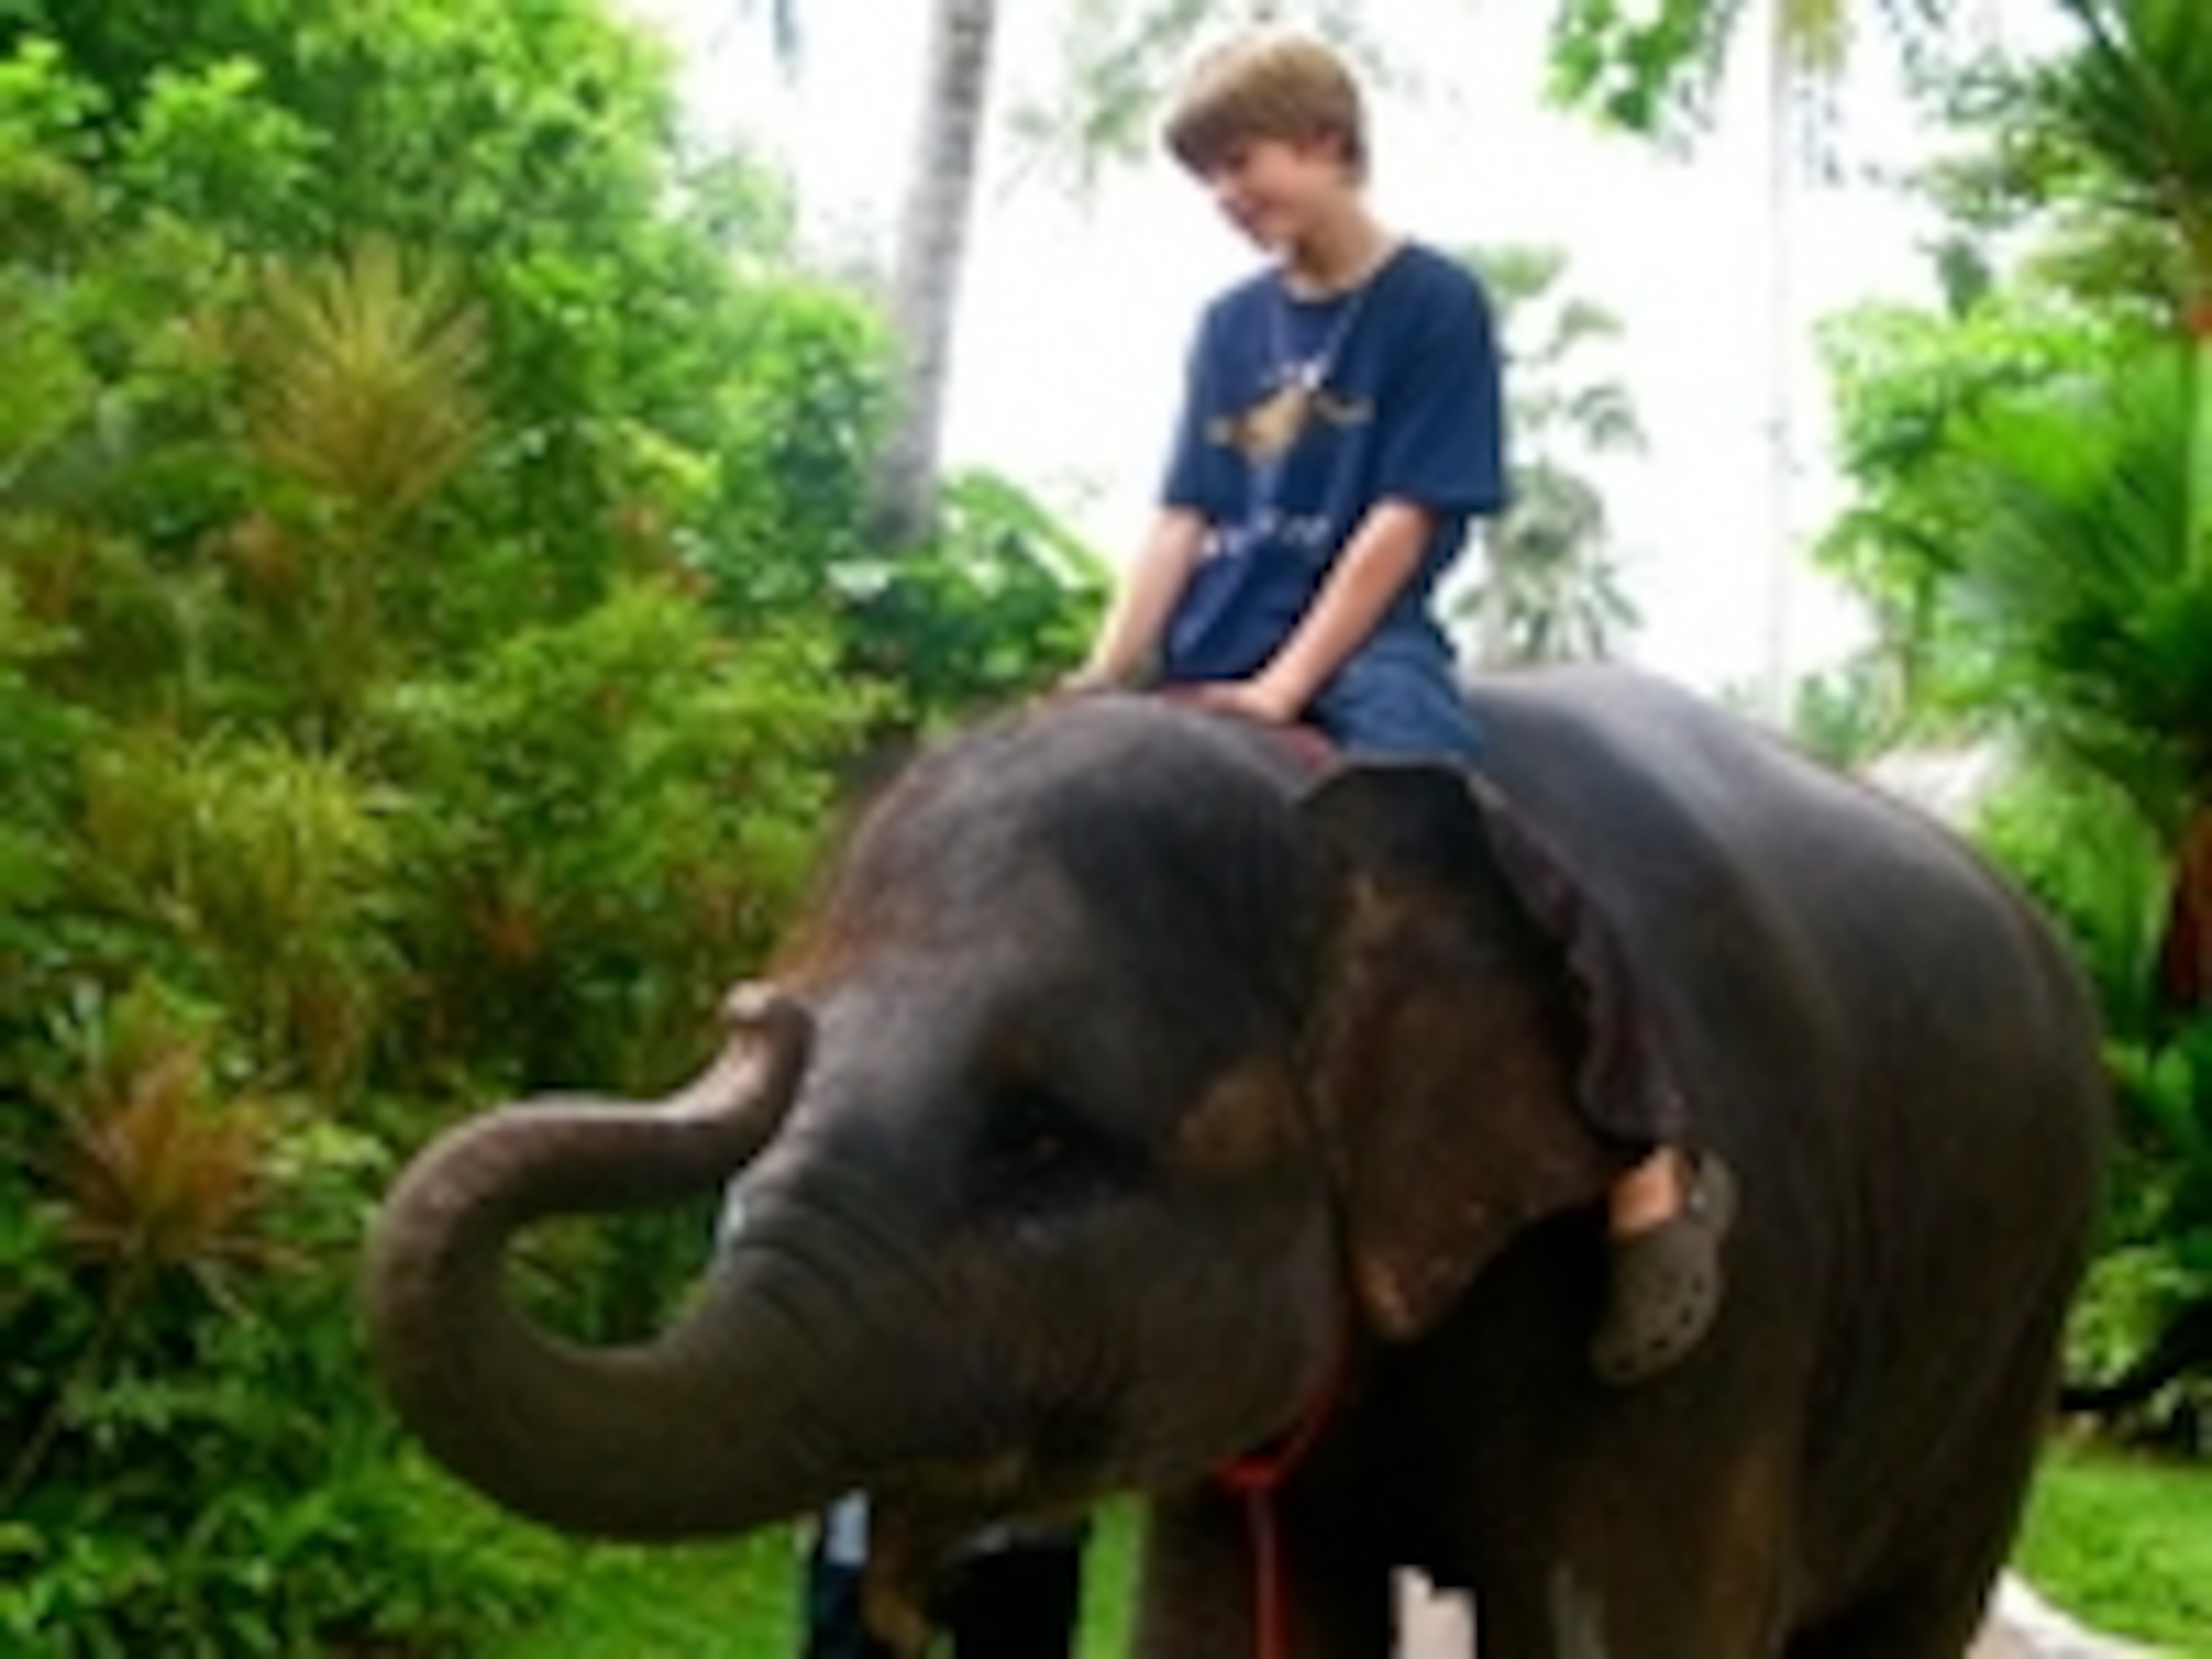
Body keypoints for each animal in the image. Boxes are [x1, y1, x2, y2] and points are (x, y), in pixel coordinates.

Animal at [364, 665, 2110, 1657]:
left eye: (1042, 1142)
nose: (750, 1019)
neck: (1331, 792)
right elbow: (1220, 1623)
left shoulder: (1723, 1324)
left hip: (2020, 1317)